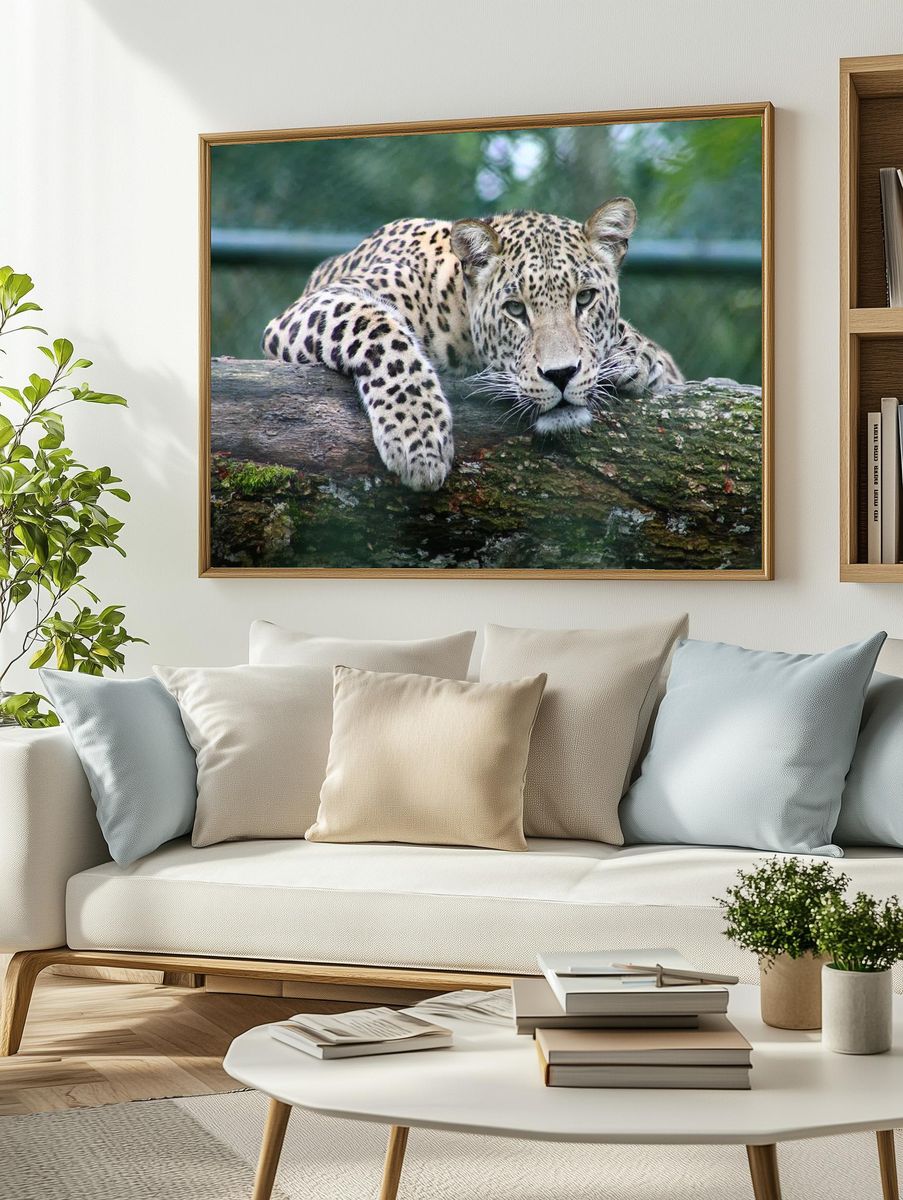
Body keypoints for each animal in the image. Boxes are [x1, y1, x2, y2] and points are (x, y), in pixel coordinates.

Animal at [262, 197, 682, 491]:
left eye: (585, 298)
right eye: (515, 309)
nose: (561, 375)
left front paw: (637, 356)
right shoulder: (313, 307)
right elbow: (381, 332)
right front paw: (419, 437)